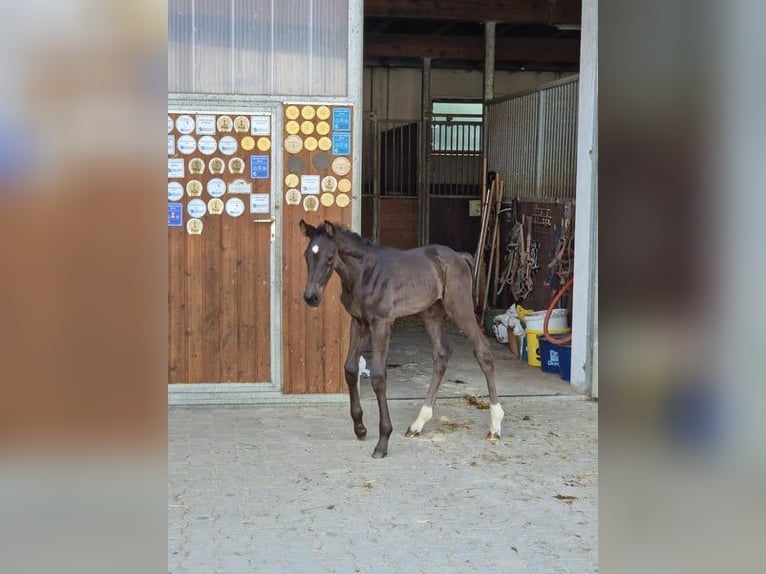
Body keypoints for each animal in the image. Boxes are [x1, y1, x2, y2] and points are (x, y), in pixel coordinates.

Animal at [299, 220, 505, 458]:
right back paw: (418, 424)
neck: (364, 273)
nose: (311, 297)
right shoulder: (359, 322)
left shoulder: (381, 323)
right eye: (306, 255)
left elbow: (379, 377)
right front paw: (360, 428)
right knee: (442, 354)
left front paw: (382, 442)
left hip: (459, 308)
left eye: (330, 257)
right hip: (430, 312)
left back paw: (495, 426)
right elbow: (350, 369)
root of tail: (460, 257)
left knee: (483, 351)